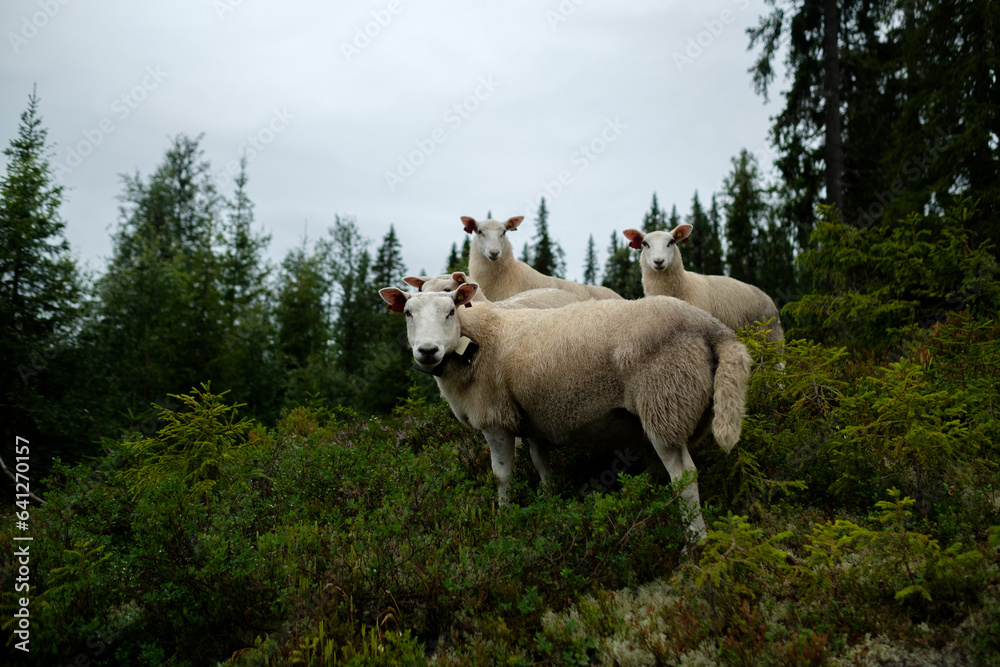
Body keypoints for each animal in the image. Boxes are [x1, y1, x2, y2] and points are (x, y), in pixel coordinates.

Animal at [378, 282, 753, 539]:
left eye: (450, 312)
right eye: (408, 313)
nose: (427, 351)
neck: (476, 343)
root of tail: (712, 328)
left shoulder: (495, 420)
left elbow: (501, 476)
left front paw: (503, 520)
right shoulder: (531, 419)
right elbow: (542, 465)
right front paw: (548, 502)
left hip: (663, 401)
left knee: (684, 476)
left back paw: (694, 541)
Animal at [623, 225, 784, 343]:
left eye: (671, 242)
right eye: (645, 243)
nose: (658, 261)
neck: (684, 286)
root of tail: (768, 299)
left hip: (772, 337)